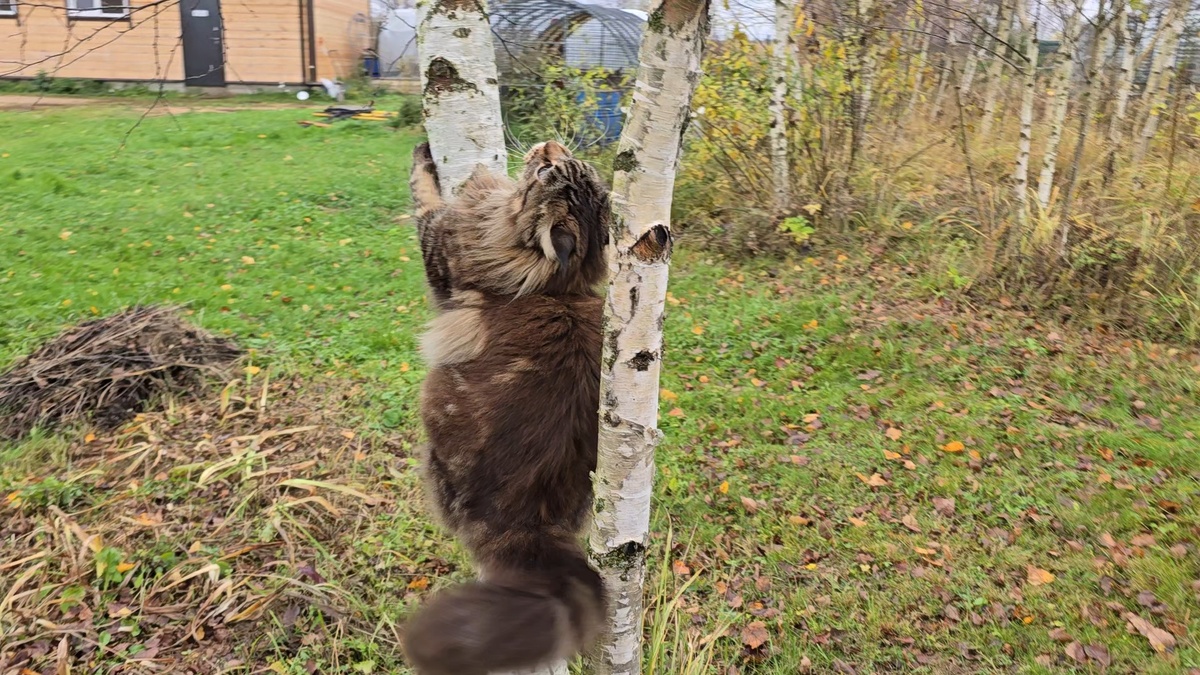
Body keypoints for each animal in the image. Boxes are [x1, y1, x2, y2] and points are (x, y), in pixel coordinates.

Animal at [402, 140, 611, 675]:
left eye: (544, 171)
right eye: (557, 161)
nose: (549, 144)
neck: (558, 285)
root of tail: (531, 523)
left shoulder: (439, 247)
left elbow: (424, 194)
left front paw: (435, 158)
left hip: (432, 447)